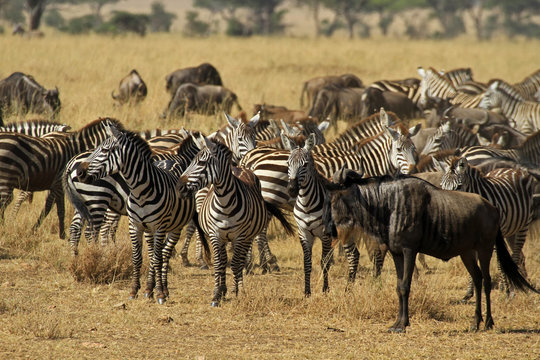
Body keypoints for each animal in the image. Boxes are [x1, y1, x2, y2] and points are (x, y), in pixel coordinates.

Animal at [76, 121, 202, 304]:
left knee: (163, 254)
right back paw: (149, 288)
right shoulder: (134, 226)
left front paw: (160, 293)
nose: (80, 172)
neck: (140, 191)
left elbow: (157, 258)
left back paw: (162, 289)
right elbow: (137, 258)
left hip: (173, 228)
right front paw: (135, 290)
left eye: (105, 150)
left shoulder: (159, 227)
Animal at [178, 135, 294, 306]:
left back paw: (239, 286)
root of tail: (239, 166)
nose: (179, 186)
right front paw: (217, 293)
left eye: (201, 163)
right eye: (191, 161)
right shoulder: (215, 235)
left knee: (239, 261)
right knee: (225, 259)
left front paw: (236, 290)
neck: (224, 201)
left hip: (247, 237)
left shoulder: (240, 236)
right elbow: (219, 263)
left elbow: (235, 263)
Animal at [442, 158, 536, 298]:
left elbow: (499, 262)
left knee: (514, 254)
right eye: (442, 186)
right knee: (519, 256)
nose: (448, 206)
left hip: (523, 226)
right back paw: (523, 283)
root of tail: (513, 169)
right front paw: (469, 292)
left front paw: (506, 290)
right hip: (510, 230)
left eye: (458, 187)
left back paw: (512, 287)